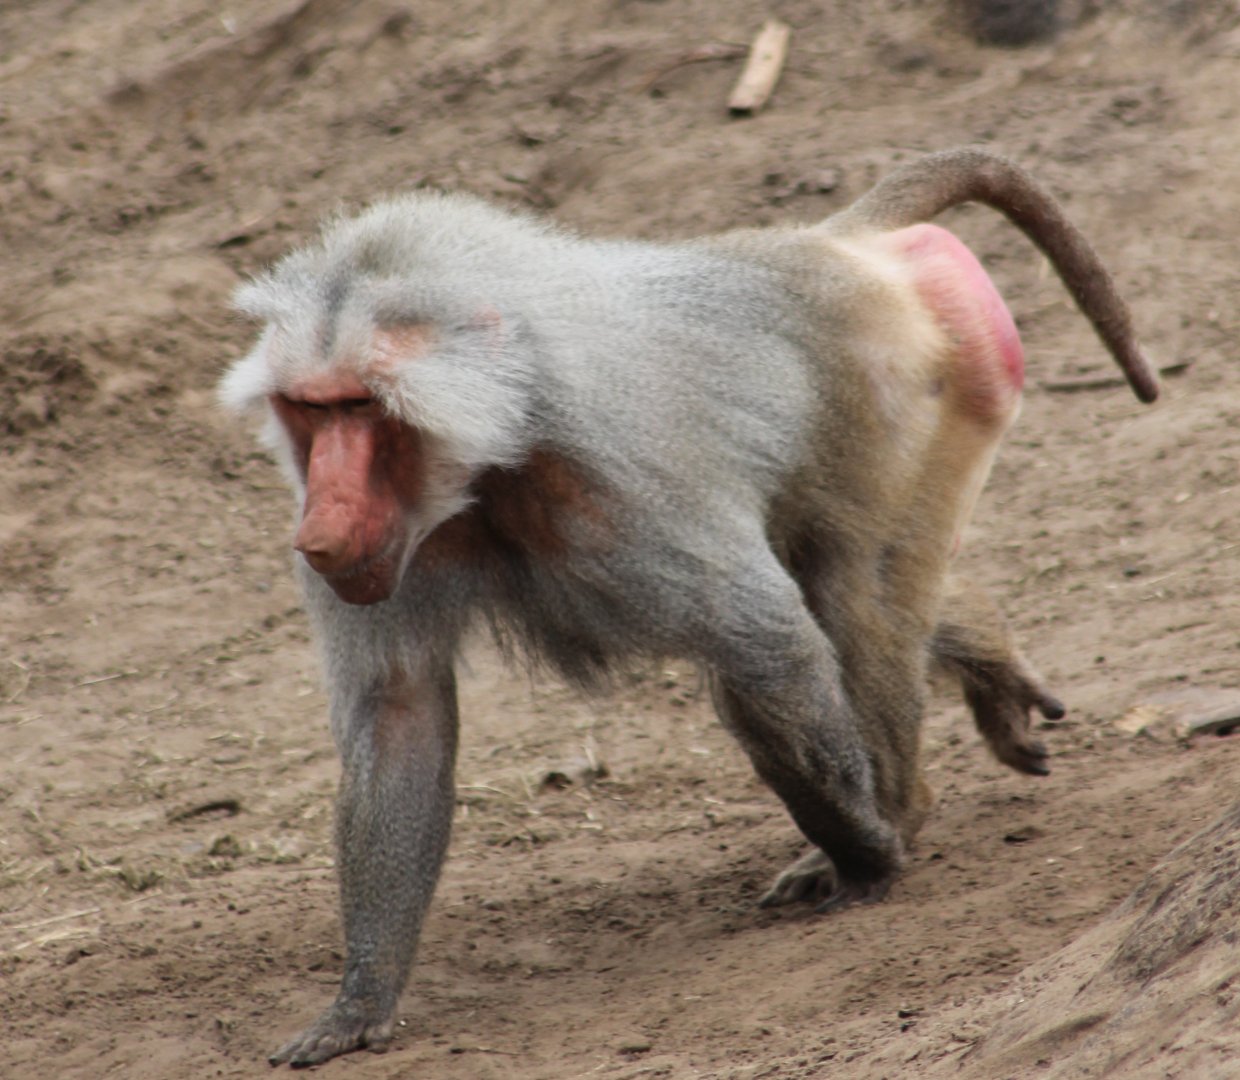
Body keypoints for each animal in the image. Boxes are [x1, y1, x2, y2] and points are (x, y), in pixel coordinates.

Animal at [219, 147, 1158, 1066]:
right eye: (308, 411)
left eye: (361, 407)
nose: (319, 528)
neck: (499, 438)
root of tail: (828, 246)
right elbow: (400, 712)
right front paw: (361, 1000)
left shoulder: (626, 481)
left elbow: (766, 641)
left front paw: (867, 851)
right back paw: (985, 663)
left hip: (908, 385)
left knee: (853, 596)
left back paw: (901, 808)